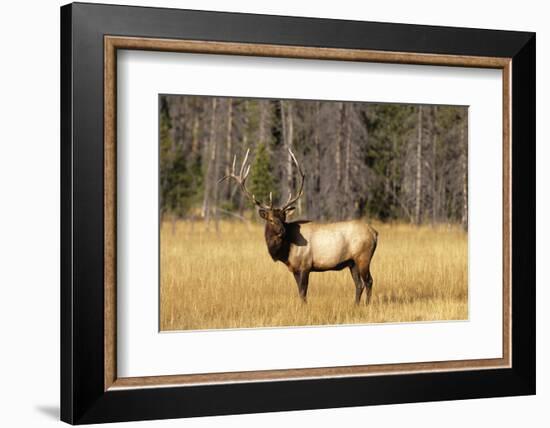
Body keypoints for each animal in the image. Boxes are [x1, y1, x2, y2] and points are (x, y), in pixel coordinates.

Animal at [221, 149, 380, 302]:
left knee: (369, 281)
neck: (286, 252)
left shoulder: (305, 265)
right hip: (352, 262)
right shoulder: (295, 268)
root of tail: (375, 233)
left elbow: (303, 293)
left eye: (283, 218)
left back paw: (367, 305)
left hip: (363, 257)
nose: (282, 231)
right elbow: (300, 292)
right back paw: (356, 305)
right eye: (271, 219)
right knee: (359, 284)